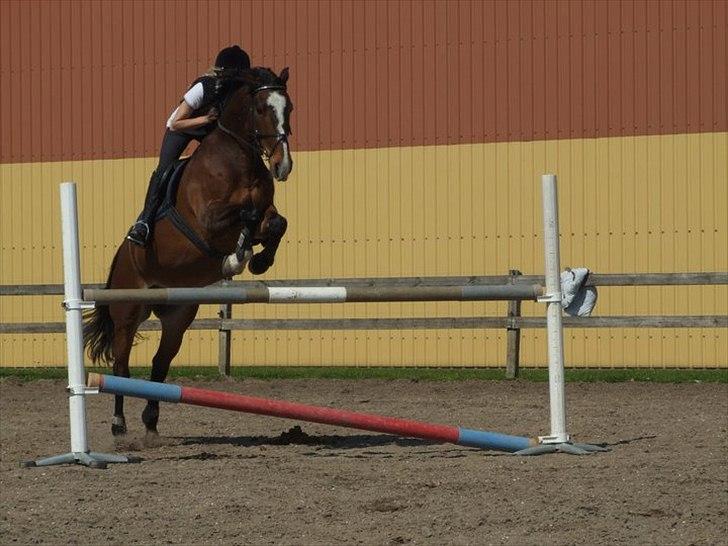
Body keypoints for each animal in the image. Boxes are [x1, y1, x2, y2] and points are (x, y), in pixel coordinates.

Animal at [82, 67, 292, 438]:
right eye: (262, 109)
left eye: (290, 108)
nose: (283, 166)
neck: (239, 160)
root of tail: (121, 256)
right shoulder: (209, 220)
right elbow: (247, 214)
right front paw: (237, 258)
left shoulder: (266, 213)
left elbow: (275, 222)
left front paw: (258, 260)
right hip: (127, 311)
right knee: (120, 365)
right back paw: (119, 423)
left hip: (178, 315)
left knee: (159, 364)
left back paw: (151, 423)